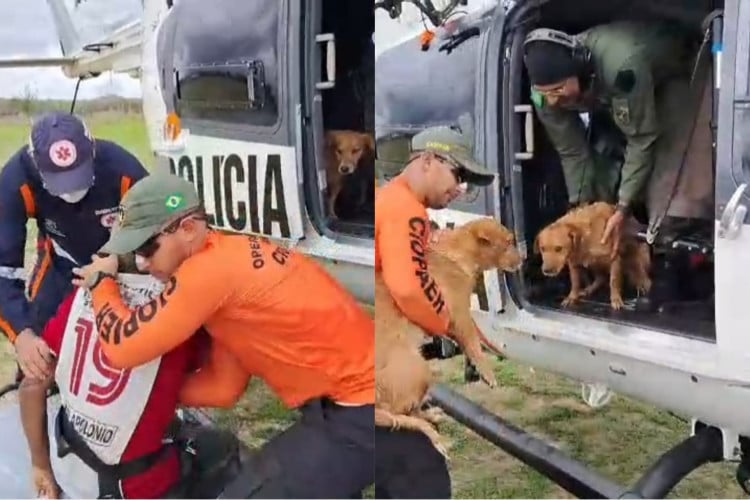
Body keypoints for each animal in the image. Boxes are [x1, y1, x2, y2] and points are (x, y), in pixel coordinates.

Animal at [376, 218, 524, 458]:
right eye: (509, 242)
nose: (524, 259)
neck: (454, 253)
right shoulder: (460, 315)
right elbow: (475, 346)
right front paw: (488, 373)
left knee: (407, 411)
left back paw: (431, 415)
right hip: (418, 368)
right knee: (400, 413)